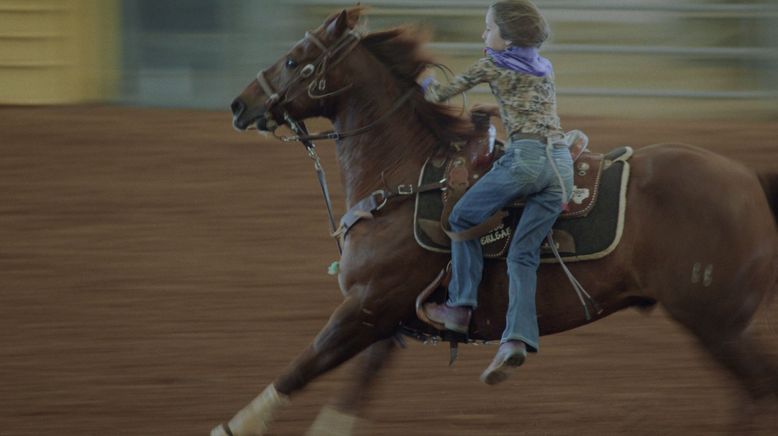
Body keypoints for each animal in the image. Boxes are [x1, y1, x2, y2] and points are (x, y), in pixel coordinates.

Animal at [217, 7, 776, 436]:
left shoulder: (365, 306)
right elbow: (354, 389)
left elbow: (304, 365)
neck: (406, 182)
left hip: (716, 321)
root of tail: (750, 182)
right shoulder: (384, 315)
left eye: (294, 59)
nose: (239, 105)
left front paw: (233, 425)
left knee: (758, 389)